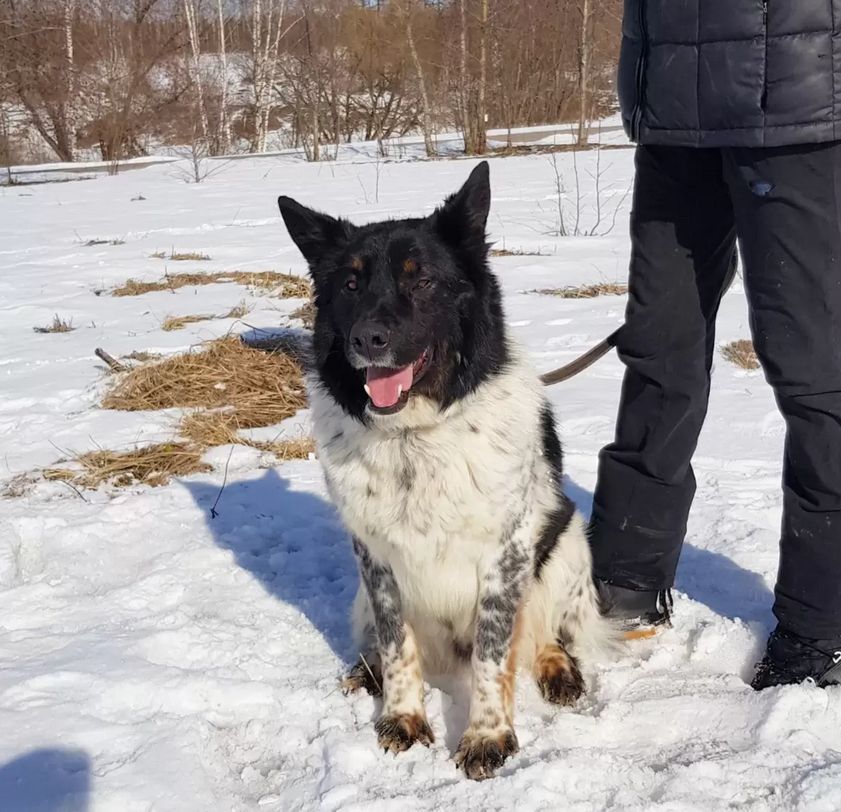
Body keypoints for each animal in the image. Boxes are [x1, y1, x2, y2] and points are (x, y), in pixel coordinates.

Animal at [278, 160, 612, 780]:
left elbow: (492, 655)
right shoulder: (376, 559)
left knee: (548, 635)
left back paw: (558, 668)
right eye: (350, 285)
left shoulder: (505, 557)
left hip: (566, 546)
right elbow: (397, 645)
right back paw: (366, 672)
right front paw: (403, 717)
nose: (367, 339)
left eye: (423, 279)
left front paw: (487, 736)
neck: (414, 437)